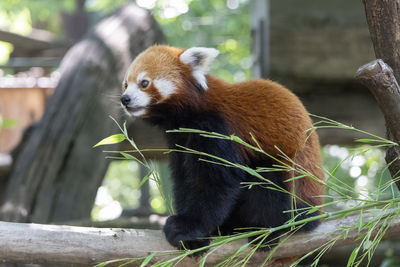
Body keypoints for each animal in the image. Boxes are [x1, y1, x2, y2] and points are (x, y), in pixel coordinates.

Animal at [121, 45, 324, 250]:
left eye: (144, 83)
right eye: (125, 84)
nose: (125, 99)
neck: (191, 112)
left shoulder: (216, 129)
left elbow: (216, 183)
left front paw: (186, 228)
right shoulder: (180, 140)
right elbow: (184, 179)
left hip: (294, 187)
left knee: (268, 178)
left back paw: (265, 229)